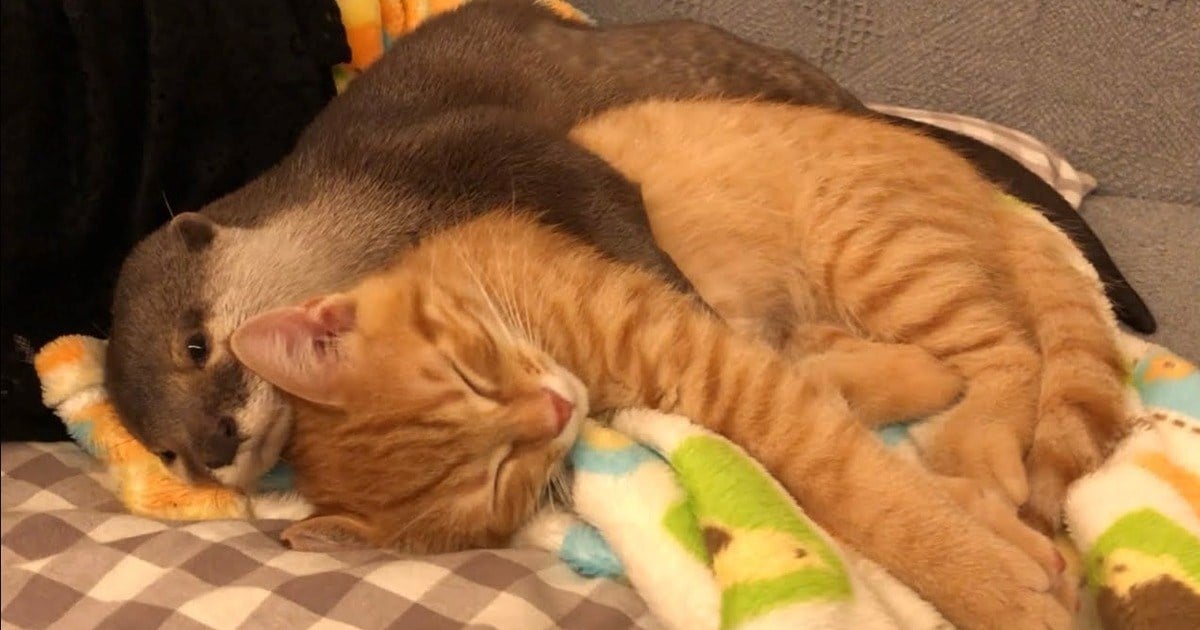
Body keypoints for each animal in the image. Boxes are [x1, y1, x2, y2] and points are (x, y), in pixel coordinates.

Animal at [231, 212, 1070, 628]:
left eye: (471, 377)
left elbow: (866, 488)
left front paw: (997, 588)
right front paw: (1004, 547)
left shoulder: (718, 362)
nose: (555, 411)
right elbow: (863, 460)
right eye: (500, 479)